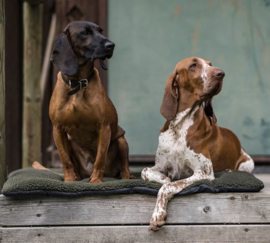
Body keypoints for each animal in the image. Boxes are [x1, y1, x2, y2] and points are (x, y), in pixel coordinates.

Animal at [42, 21, 133, 184]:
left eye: (100, 31)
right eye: (84, 32)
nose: (111, 45)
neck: (77, 83)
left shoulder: (104, 128)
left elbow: (100, 158)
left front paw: (96, 181)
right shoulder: (58, 129)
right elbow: (65, 160)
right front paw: (69, 179)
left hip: (122, 140)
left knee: (124, 165)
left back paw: (126, 177)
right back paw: (77, 176)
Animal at [142, 57, 254, 232]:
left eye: (210, 64)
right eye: (193, 65)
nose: (221, 73)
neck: (180, 127)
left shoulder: (203, 173)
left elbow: (169, 187)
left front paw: (158, 215)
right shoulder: (160, 165)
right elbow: (145, 171)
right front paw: (162, 178)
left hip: (248, 163)